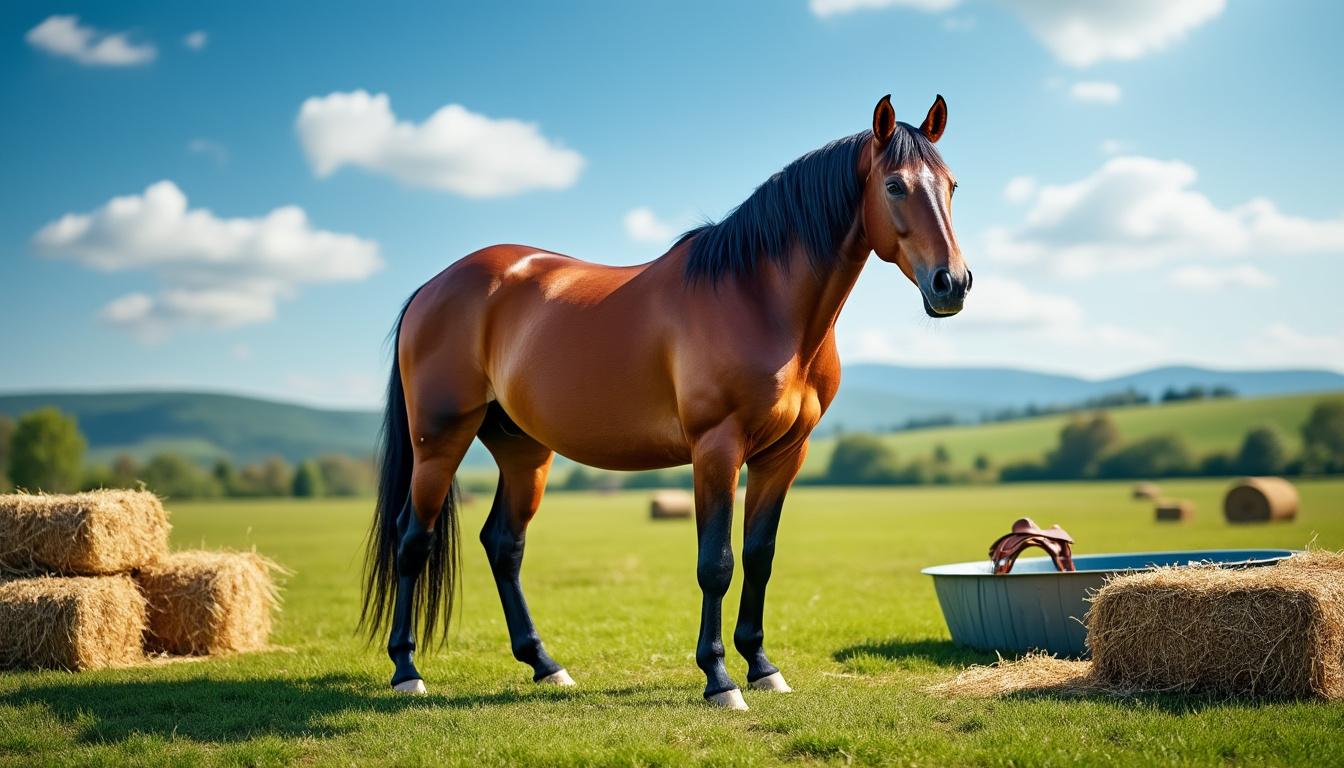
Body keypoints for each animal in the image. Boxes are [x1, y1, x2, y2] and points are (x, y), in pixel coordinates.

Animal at [360, 94, 970, 710]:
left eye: (951, 185)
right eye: (894, 185)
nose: (952, 283)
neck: (760, 299)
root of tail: (433, 287)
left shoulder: (784, 454)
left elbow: (760, 556)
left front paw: (762, 666)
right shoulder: (716, 448)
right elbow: (716, 563)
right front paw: (720, 678)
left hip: (523, 450)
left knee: (504, 545)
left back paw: (544, 664)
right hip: (439, 440)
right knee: (413, 540)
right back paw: (407, 669)